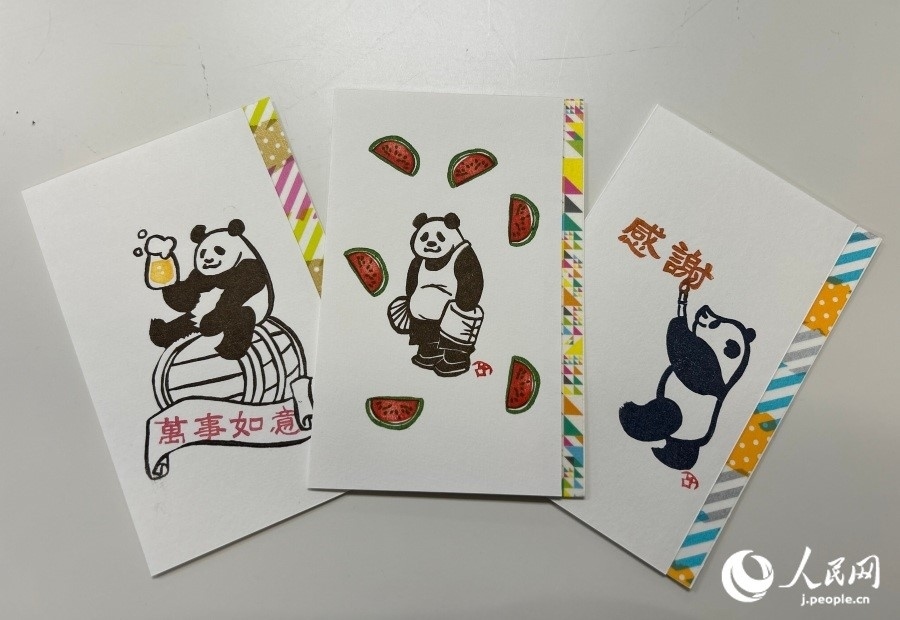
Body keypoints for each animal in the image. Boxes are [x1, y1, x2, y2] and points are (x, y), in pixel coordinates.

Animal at [148, 219, 273, 360]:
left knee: (241, 318)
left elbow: (236, 292)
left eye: (219, 249)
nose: (208, 260)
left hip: (246, 312)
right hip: (192, 315)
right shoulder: (200, 277)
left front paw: (209, 325)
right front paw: (166, 279)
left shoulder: (250, 267)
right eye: (202, 252)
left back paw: (227, 349)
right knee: (181, 325)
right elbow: (185, 299)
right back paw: (158, 330)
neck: (220, 274)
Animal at [390, 212, 484, 377]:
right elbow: (412, 281)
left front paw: (464, 304)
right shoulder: (418, 262)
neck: (436, 261)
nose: (431, 244)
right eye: (424, 236)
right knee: (428, 333)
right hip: (425, 320)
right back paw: (426, 359)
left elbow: (471, 278)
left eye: (440, 236)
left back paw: (450, 367)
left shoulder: (463, 255)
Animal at [618, 292, 756, 470]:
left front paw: (681, 315)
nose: (705, 309)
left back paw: (630, 415)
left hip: (680, 419)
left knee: (666, 416)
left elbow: (686, 349)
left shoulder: (713, 371)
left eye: (715, 323)